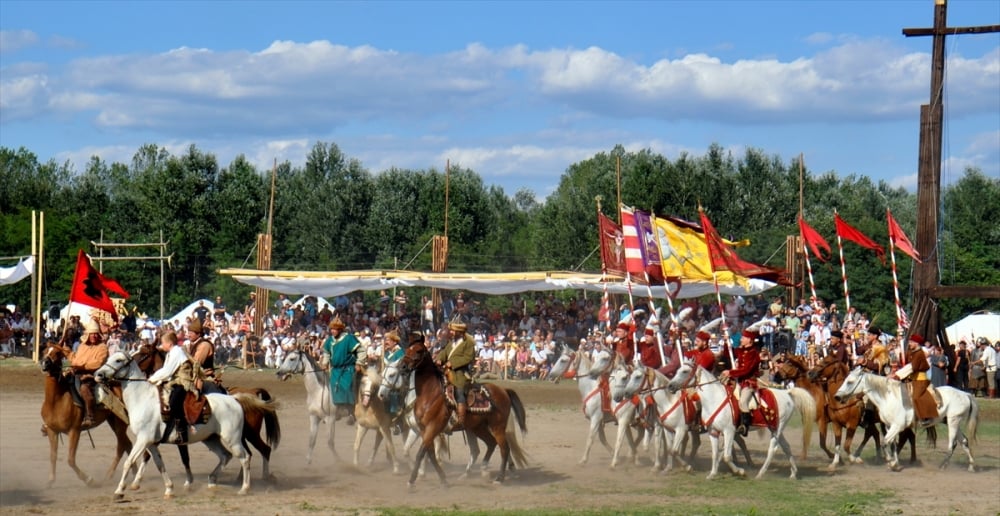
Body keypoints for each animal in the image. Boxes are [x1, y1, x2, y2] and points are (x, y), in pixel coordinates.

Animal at [39, 344, 136, 486]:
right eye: (45, 351)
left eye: (57, 353)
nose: (45, 363)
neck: (56, 400)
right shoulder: (53, 431)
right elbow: (53, 456)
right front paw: (51, 481)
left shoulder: (74, 431)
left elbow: (70, 460)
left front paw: (89, 480)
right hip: (112, 421)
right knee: (128, 444)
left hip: (120, 423)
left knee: (122, 446)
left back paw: (109, 476)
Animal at [92, 348, 264, 498]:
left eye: (118, 360)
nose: (98, 374)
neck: (143, 398)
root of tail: (234, 399)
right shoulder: (151, 443)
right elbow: (159, 464)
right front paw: (169, 489)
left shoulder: (143, 439)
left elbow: (128, 462)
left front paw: (119, 491)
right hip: (211, 439)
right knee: (225, 456)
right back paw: (212, 481)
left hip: (233, 439)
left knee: (245, 458)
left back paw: (244, 488)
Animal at [398, 342, 528, 488]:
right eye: (407, 349)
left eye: (419, 351)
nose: (402, 367)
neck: (430, 394)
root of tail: (503, 390)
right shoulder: (422, 429)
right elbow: (429, 454)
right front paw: (442, 479)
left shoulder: (433, 427)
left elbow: (421, 453)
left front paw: (412, 481)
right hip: (478, 427)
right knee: (491, 444)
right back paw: (482, 469)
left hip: (497, 427)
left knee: (504, 449)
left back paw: (499, 478)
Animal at [668, 358, 816, 480]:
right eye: (677, 370)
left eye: (685, 371)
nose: (670, 386)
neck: (714, 398)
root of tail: (787, 393)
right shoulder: (713, 432)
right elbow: (715, 454)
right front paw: (712, 474)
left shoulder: (729, 431)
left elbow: (727, 456)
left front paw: (740, 471)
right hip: (774, 427)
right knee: (786, 447)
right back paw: (793, 473)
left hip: (778, 428)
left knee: (772, 449)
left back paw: (760, 474)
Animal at [832, 366, 980, 472]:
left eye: (849, 382)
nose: (837, 397)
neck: (889, 397)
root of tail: (965, 394)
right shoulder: (889, 426)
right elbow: (892, 444)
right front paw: (895, 464)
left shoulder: (897, 426)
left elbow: (885, 442)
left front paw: (891, 462)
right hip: (953, 422)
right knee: (964, 442)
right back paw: (971, 466)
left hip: (953, 421)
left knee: (952, 444)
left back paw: (943, 466)